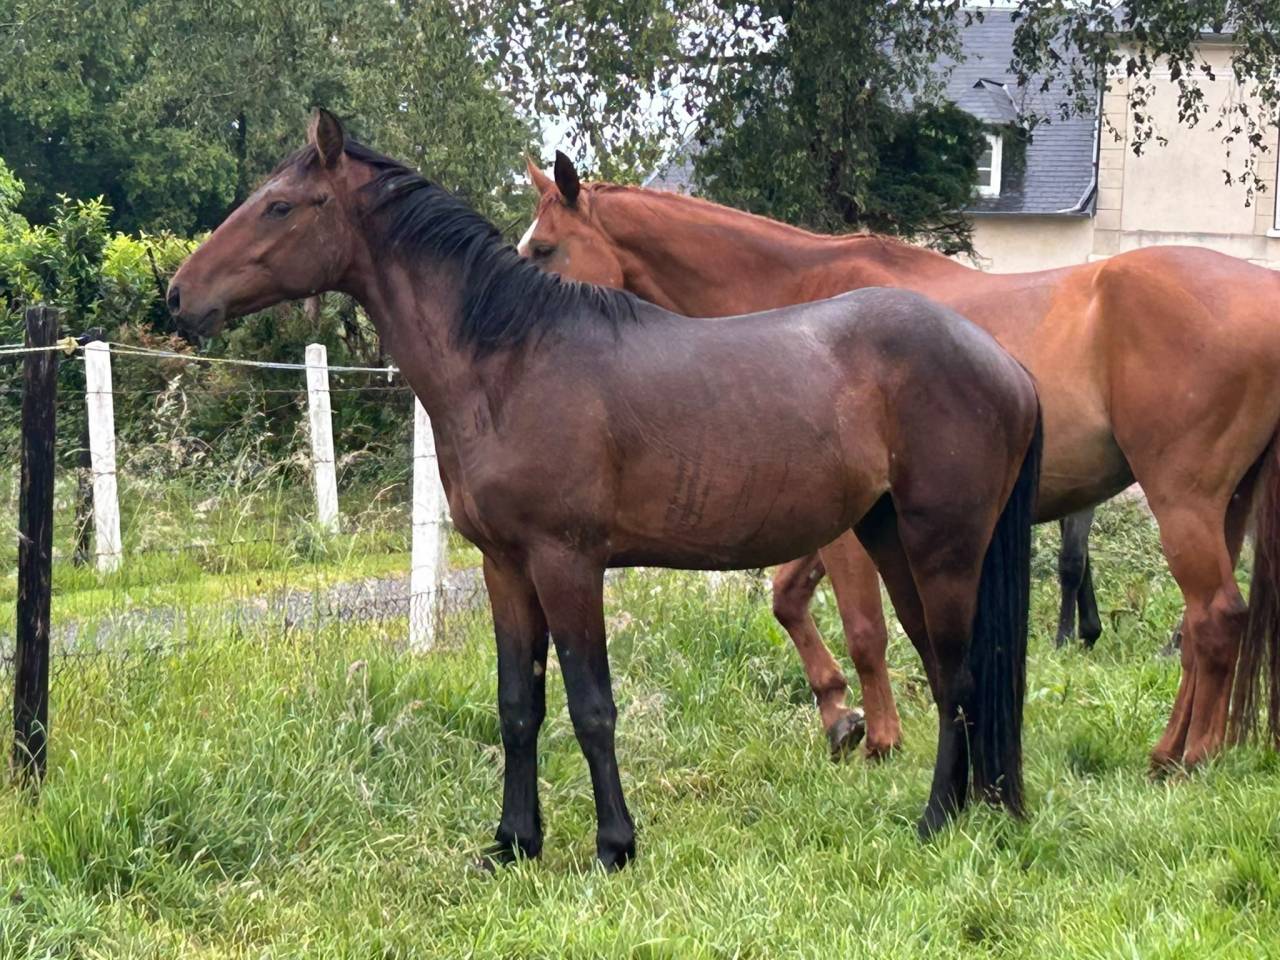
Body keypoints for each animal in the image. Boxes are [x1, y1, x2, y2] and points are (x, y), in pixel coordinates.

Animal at [168, 110, 1042, 866]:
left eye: (280, 205)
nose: (179, 296)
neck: (511, 361)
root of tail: (1003, 363)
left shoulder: (567, 563)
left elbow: (592, 707)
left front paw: (613, 846)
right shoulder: (506, 567)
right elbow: (518, 706)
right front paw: (513, 844)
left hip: (942, 548)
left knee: (960, 676)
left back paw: (935, 819)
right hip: (893, 540)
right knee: (945, 672)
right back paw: (967, 810)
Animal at [519, 152, 1280, 772]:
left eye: (545, 248)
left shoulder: (848, 530)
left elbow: (865, 631)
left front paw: (880, 737)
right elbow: (788, 599)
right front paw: (840, 715)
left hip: (1182, 501)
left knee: (1215, 617)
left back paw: (1191, 758)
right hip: (1223, 506)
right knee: (1203, 629)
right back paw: (1174, 747)